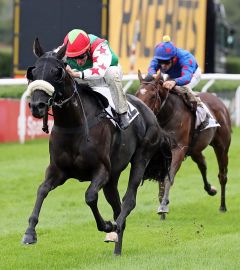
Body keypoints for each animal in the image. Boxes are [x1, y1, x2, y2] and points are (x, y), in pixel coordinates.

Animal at [21, 38, 172, 255]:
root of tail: (151, 113)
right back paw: (117, 247)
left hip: (141, 158)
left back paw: (114, 230)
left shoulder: (101, 170)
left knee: (128, 200)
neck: (73, 125)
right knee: (117, 206)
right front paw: (29, 233)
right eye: (32, 72)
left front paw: (107, 226)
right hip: (113, 177)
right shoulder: (58, 170)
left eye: (57, 72)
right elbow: (42, 190)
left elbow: (90, 196)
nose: (37, 106)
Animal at [136, 70, 232, 220]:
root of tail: (218, 101)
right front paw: (162, 211)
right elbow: (161, 181)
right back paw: (210, 189)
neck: (168, 115)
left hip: (222, 147)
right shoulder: (162, 153)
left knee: (222, 175)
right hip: (195, 150)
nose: (141, 113)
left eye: (152, 95)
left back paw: (222, 206)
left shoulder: (179, 150)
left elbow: (168, 178)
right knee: (202, 165)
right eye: (136, 94)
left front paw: (163, 207)